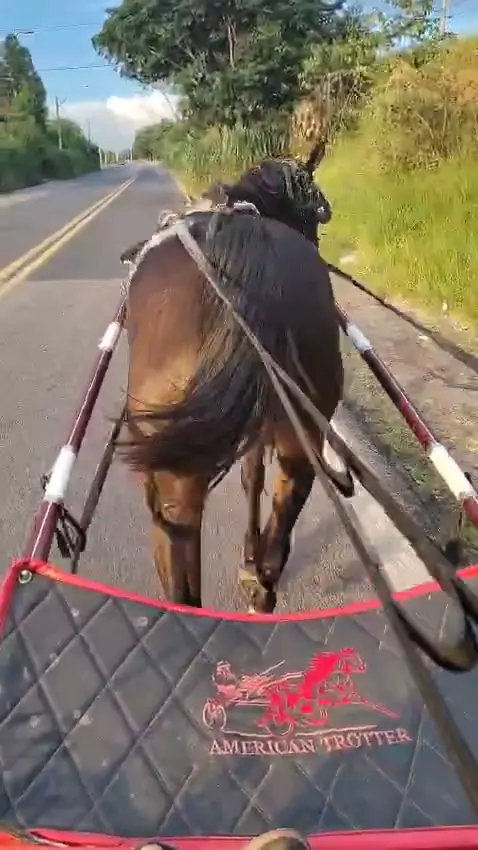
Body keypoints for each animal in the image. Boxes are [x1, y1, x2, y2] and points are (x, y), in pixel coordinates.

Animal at [120, 144, 354, 614]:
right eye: (319, 212)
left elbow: (251, 478)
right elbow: (254, 479)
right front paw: (251, 561)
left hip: (173, 478)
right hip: (299, 434)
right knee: (287, 504)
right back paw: (262, 588)